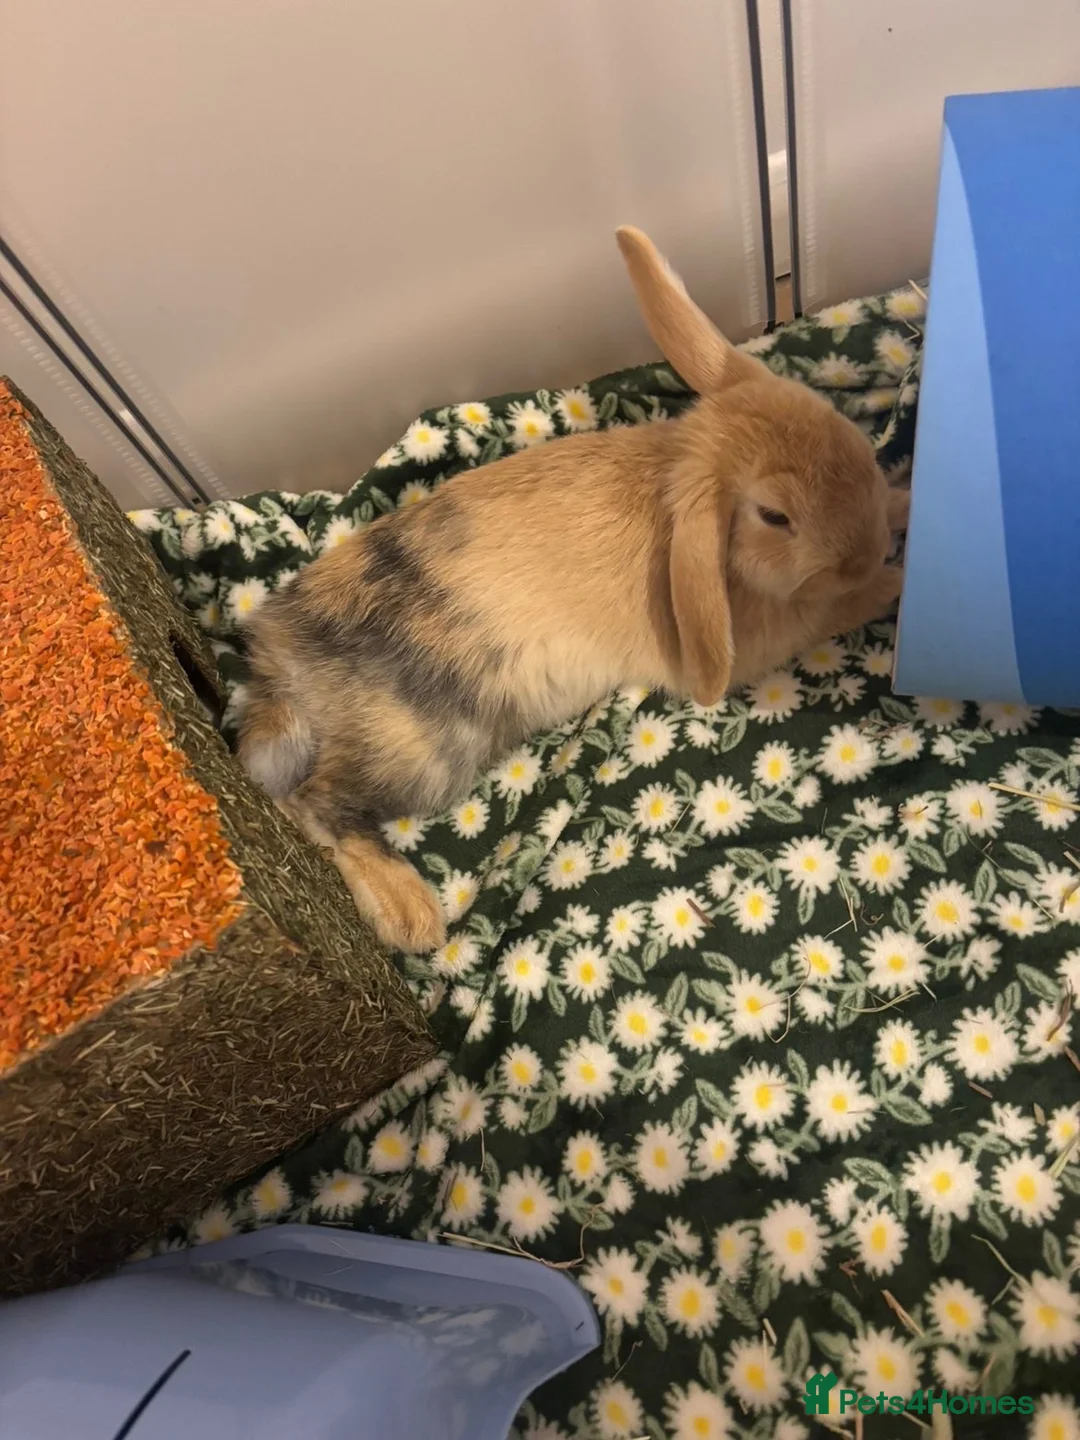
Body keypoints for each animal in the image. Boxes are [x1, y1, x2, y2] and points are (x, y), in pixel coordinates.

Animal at [237, 226, 908, 955]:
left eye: (842, 429)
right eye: (775, 516)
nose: (866, 552)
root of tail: (276, 662)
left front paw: (909, 504)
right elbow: (833, 608)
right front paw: (896, 581)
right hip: (419, 751)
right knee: (316, 803)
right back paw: (410, 915)